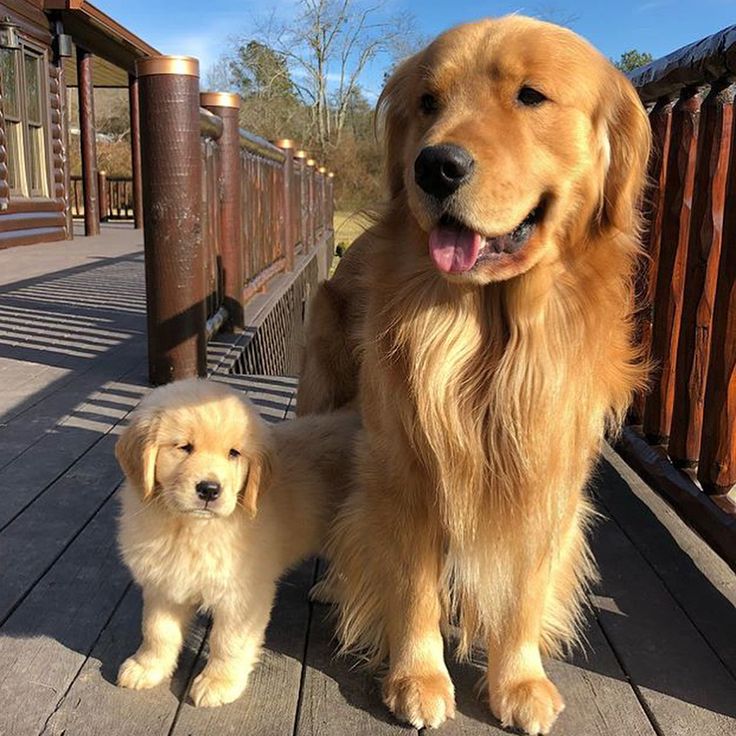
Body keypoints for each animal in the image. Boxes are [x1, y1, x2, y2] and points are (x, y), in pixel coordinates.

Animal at [113, 380, 360, 708]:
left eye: (234, 453)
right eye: (184, 447)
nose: (209, 489)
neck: (189, 528)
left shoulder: (242, 595)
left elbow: (228, 640)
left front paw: (219, 682)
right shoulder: (164, 583)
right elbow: (157, 631)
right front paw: (147, 667)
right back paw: (330, 589)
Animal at [296, 12, 648, 736]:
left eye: (531, 96)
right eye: (428, 103)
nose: (435, 166)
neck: (493, 342)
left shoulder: (547, 475)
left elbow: (523, 587)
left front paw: (519, 680)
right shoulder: (404, 468)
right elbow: (412, 585)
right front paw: (418, 678)